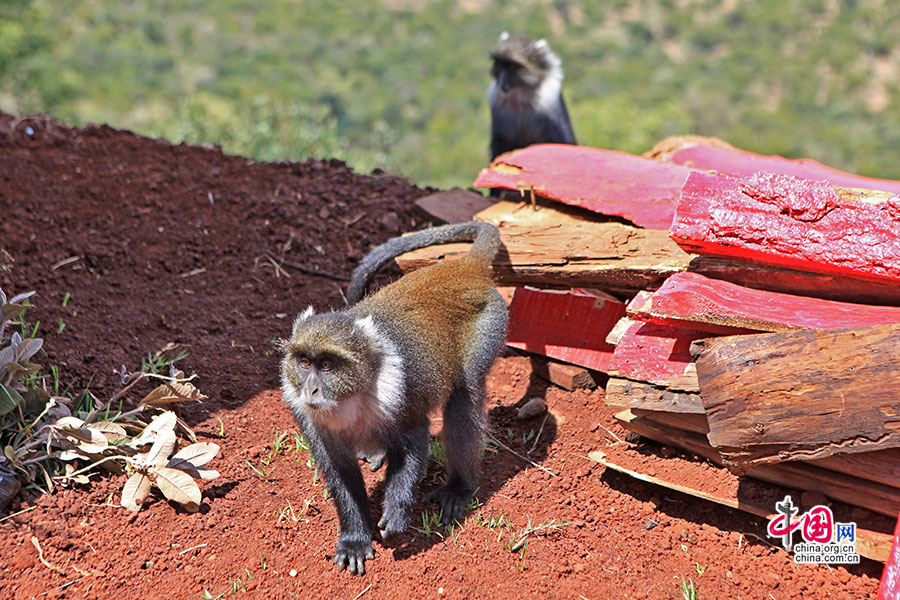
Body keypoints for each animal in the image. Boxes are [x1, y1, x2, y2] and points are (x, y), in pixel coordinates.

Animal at [280, 221, 506, 576]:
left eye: (327, 365)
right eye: (304, 363)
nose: (310, 390)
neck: (353, 396)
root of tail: (465, 269)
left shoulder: (402, 396)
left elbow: (414, 437)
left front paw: (397, 513)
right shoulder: (305, 415)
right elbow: (339, 471)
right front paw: (355, 538)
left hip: (490, 324)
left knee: (464, 397)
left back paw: (460, 487)